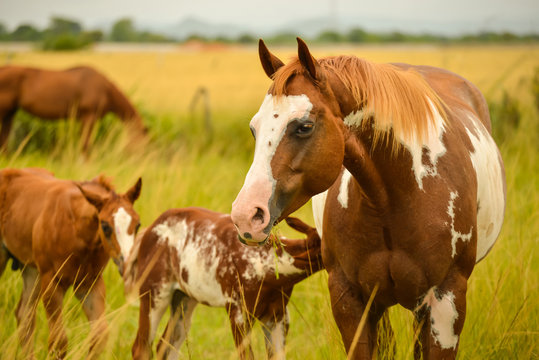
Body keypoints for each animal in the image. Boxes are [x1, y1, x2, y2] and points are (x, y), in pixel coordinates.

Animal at [0, 65, 148, 151]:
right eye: (143, 143)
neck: (105, 89)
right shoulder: (89, 118)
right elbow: (85, 146)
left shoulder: (83, 120)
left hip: (9, 113)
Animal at [0, 167, 141, 358]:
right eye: (104, 225)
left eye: (138, 224)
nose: (127, 265)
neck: (76, 230)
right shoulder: (51, 281)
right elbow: (58, 341)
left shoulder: (90, 284)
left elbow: (99, 337)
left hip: (31, 270)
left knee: (24, 316)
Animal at [124, 208, 322, 360]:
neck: (265, 263)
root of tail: (147, 231)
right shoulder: (237, 310)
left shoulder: (278, 314)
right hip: (154, 292)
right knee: (141, 348)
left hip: (184, 298)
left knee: (167, 346)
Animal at [232, 38, 506, 358]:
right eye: (254, 128)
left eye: (304, 126)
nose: (245, 215)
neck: (394, 199)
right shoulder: (350, 300)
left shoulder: (447, 301)